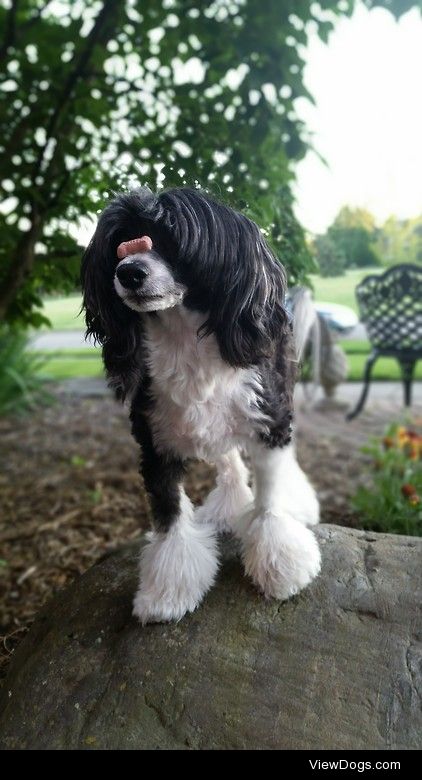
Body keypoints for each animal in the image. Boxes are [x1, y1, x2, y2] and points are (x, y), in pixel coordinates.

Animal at [81, 186, 320, 624]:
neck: (184, 346)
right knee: (227, 459)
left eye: (173, 239)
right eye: (120, 244)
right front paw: (168, 590)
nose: (129, 271)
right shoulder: (154, 440)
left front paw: (281, 561)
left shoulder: (268, 417)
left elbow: (270, 495)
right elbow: (169, 511)